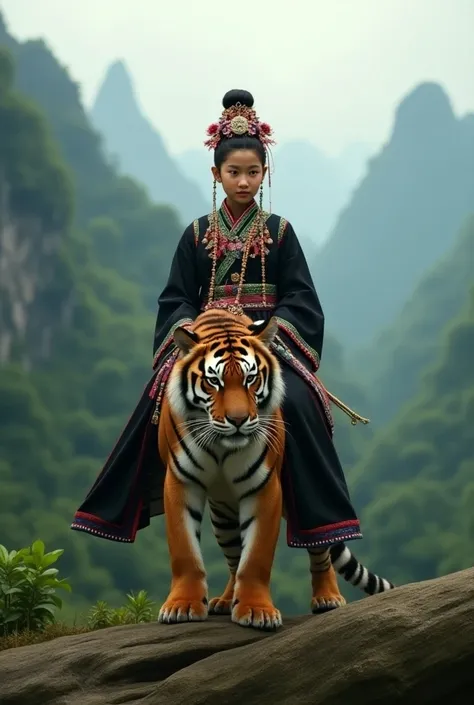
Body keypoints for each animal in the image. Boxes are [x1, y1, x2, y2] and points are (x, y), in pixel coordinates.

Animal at [156, 310, 392, 628]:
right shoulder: (181, 482)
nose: (238, 420)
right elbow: (186, 551)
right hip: (223, 513)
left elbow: (255, 556)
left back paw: (328, 597)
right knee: (233, 556)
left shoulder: (264, 486)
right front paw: (182, 605)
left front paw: (257, 611)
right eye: (213, 381)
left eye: (251, 379)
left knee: (320, 545)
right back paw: (226, 600)